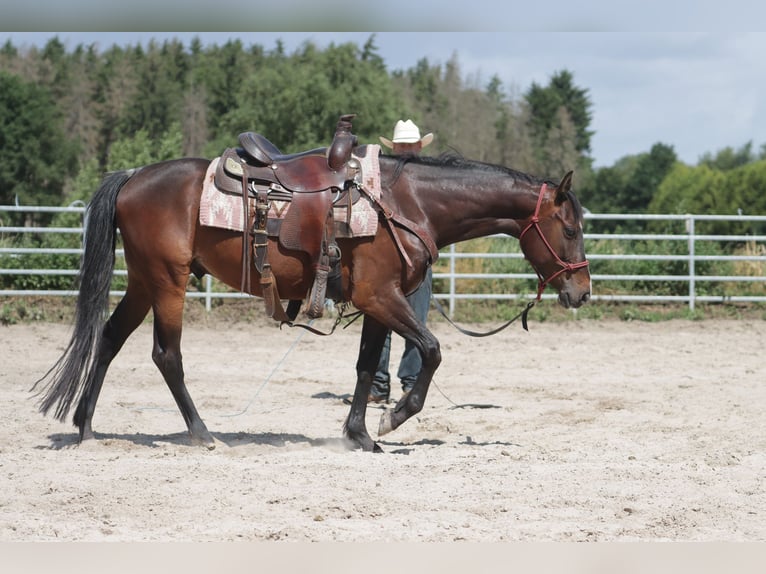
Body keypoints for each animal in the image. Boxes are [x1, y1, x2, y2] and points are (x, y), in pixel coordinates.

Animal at [33, 150, 592, 454]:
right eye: (569, 229)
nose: (581, 291)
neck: (408, 204)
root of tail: (133, 176)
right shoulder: (381, 297)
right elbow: (432, 351)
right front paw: (392, 420)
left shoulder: (377, 303)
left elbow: (366, 367)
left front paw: (360, 435)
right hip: (168, 283)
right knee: (166, 355)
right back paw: (202, 432)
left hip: (145, 283)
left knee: (108, 339)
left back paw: (85, 426)